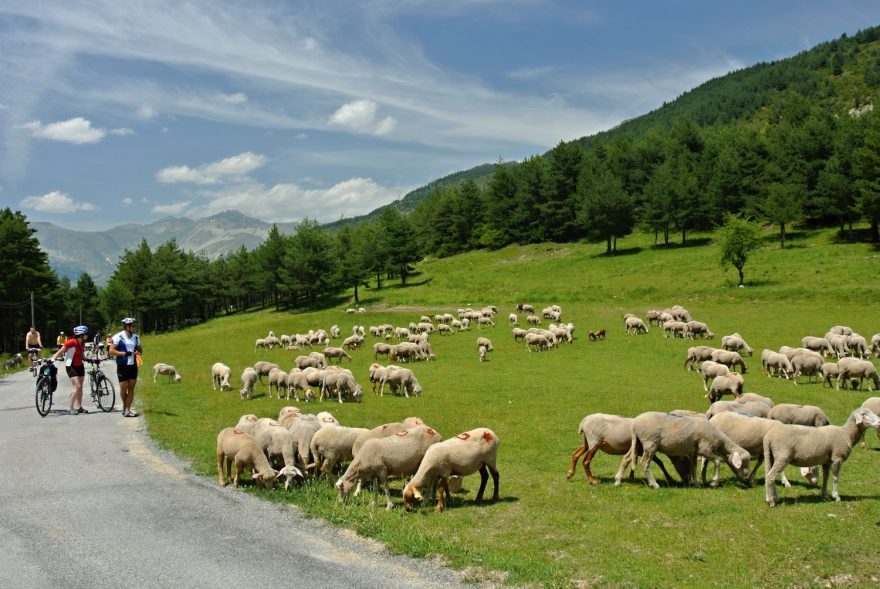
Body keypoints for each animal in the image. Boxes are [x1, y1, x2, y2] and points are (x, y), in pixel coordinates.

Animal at [612, 408, 748, 486]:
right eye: (744, 462)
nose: (746, 475)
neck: (720, 439)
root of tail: (634, 424)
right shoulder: (705, 448)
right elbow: (718, 461)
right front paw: (714, 482)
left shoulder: (694, 451)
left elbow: (694, 467)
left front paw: (696, 483)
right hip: (650, 442)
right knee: (644, 463)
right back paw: (654, 484)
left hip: (639, 442)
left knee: (627, 457)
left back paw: (618, 480)